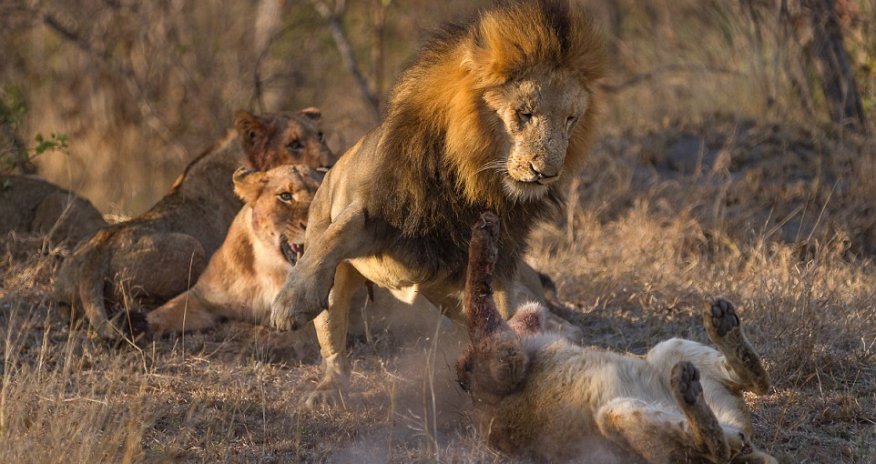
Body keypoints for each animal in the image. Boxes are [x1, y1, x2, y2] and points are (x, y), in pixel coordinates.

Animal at [269, 0, 606, 406]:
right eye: (524, 114)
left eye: (571, 119)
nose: (546, 173)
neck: (474, 179)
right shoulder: (378, 209)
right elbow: (333, 239)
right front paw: (290, 304)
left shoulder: (502, 252)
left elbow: (506, 304)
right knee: (335, 343)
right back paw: (328, 388)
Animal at [457, 212, 777, 463]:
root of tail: (747, 450)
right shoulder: (503, 363)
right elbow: (476, 303)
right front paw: (483, 240)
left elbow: (482, 308)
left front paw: (485, 232)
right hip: (617, 415)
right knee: (715, 447)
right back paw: (690, 390)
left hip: (670, 351)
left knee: (757, 384)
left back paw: (722, 325)